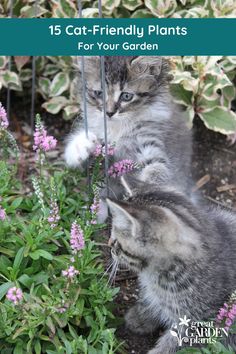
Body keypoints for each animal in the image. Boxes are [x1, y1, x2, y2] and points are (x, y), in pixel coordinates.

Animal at [64, 56, 192, 194]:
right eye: (99, 93)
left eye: (126, 96)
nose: (109, 113)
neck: (118, 127)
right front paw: (82, 145)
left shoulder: (150, 138)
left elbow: (158, 168)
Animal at [106, 177, 236, 354]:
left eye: (116, 241)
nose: (109, 245)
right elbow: (155, 301)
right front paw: (141, 316)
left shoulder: (200, 323)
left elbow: (174, 346)